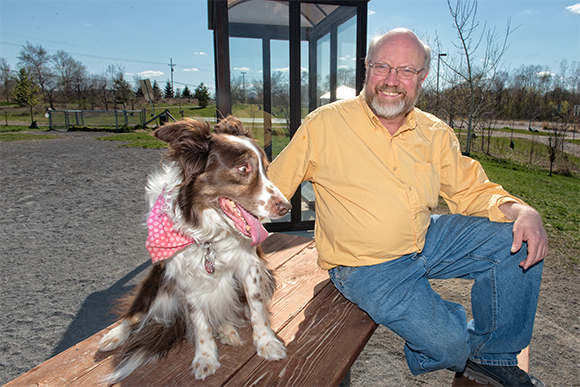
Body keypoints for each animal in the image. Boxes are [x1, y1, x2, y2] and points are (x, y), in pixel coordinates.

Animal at [99, 116, 292, 384]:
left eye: (266, 168)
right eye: (243, 168)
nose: (286, 207)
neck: (210, 236)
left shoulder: (250, 266)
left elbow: (256, 308)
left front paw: (266, 343)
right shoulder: (186, 277)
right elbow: (199, 320)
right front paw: (205, 356)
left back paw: (226, 330)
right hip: (157, 279)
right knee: (136, 312)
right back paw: (115, 335)